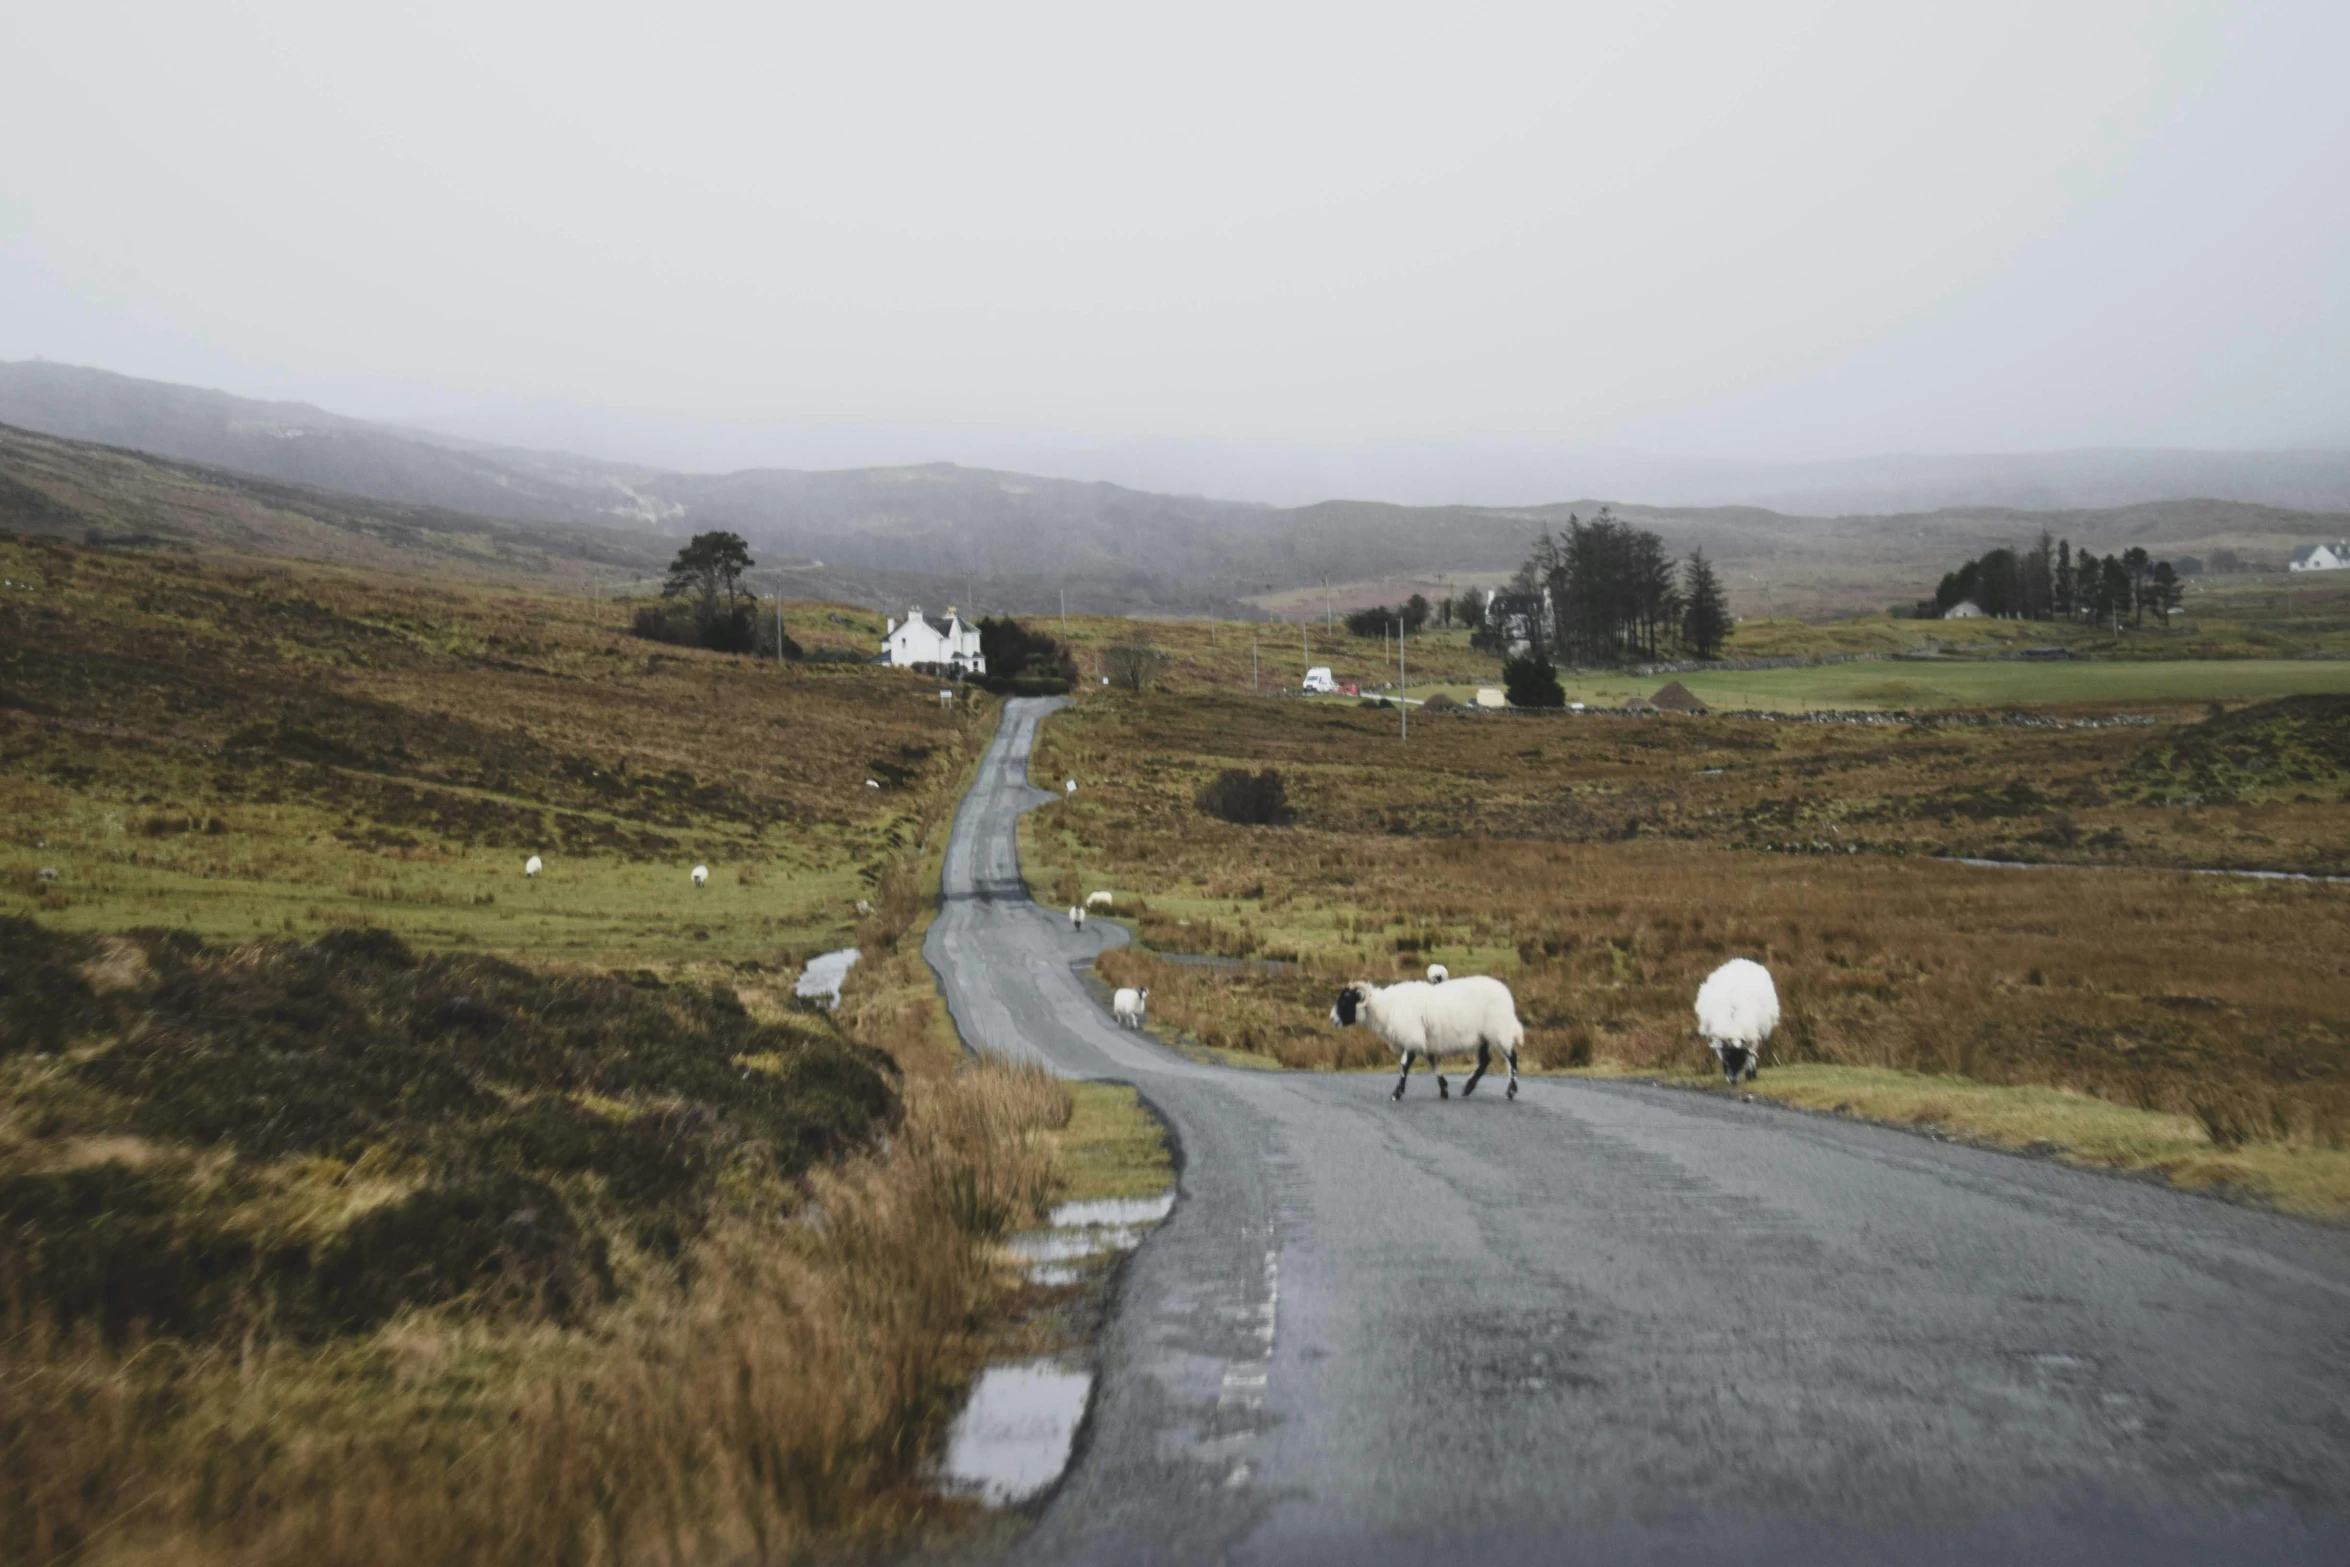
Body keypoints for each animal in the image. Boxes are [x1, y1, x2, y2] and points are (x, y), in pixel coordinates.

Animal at [1334, 982, 1532, 1104]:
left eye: (1345, 1000)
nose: (1332, 1019)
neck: (1385, 1008)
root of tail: (1507, 995)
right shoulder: (1425, 1043)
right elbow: (1433, 1065)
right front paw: (1444, 1090)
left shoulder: (1412, 1038)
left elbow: (1404, 1067)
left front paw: (1396, 1094)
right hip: (1483, 1037)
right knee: (1485, 1060)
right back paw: (1468, 1088)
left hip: (1498, 1031)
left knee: (1512, 1058)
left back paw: (1510, 1091)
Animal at [1691, 958, 1776, 1090]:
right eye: (1726, 1060)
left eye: (1741, 1061)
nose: (1733, 1081)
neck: (1734, 1025)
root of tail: (1741, 960)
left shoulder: (1751, 1037)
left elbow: (1751, 1056)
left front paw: (1750, 1074)